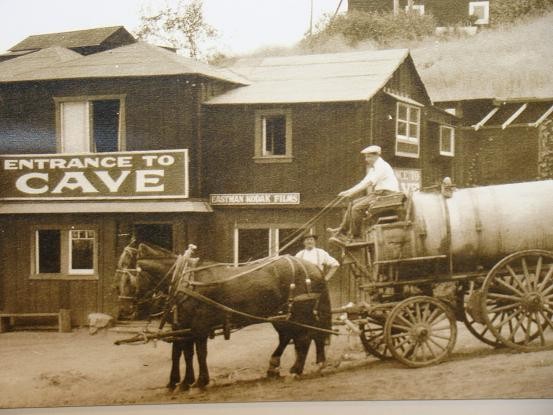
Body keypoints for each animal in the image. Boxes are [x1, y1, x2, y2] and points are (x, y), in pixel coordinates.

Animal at [115, 242, 332, 392]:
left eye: (128, 277)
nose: (124, 309)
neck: (185, 281)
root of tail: (313, 267)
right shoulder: (184, 325)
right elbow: (183, 353)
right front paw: (181, 382)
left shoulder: (199, 325)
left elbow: (199, 353)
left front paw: (199, 381)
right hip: (281, 315)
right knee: (292, 337)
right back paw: (278, 367)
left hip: (300, 312)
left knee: (304, 338)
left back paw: (297, 370)